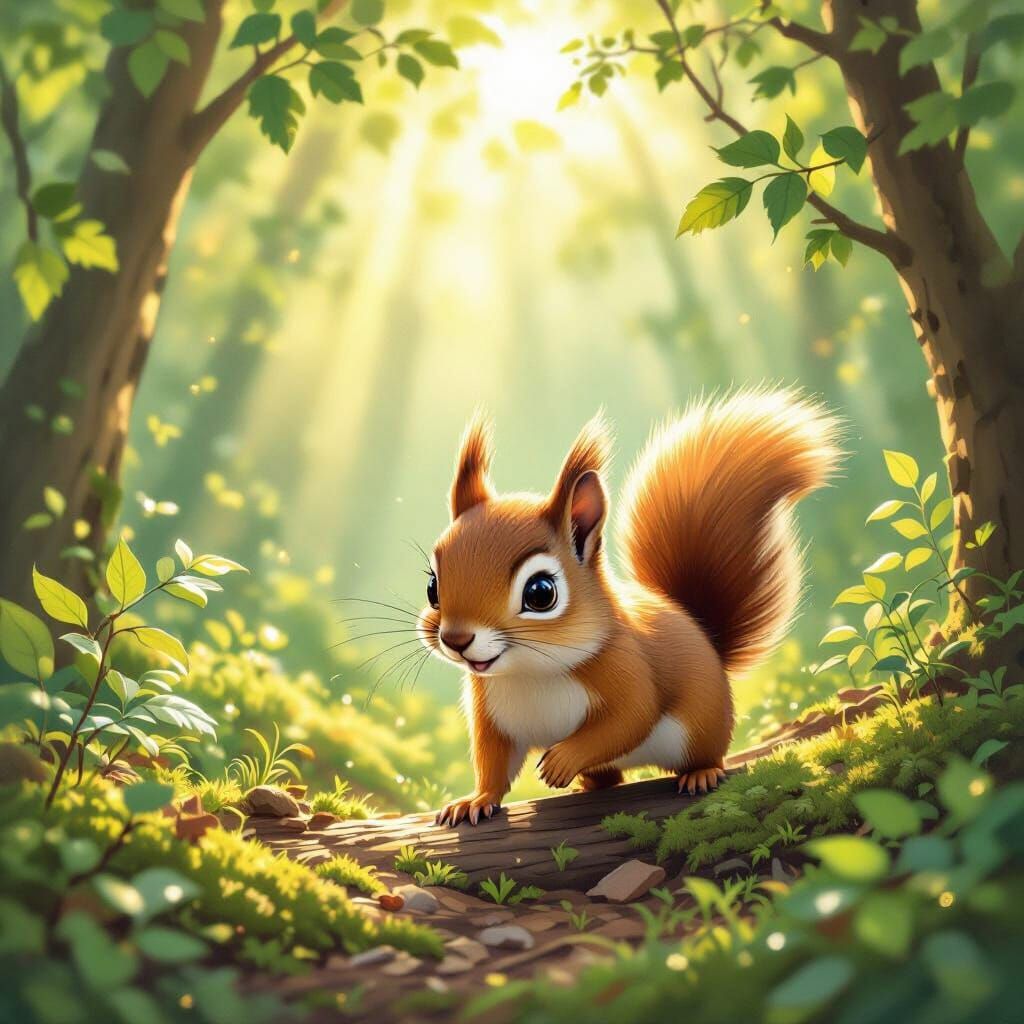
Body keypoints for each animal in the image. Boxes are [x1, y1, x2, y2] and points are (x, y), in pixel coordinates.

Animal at [417, 390, 840, 827]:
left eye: (540, 593)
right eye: (432, 587)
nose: (456, 639)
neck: (531, 672)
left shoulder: (627, 668)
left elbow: (629, 719)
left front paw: (562, 759)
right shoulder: (491, 716)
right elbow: (493, 763)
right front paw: (476, 799)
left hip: (700, 726)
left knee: (702, 753)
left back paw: (701, 772)